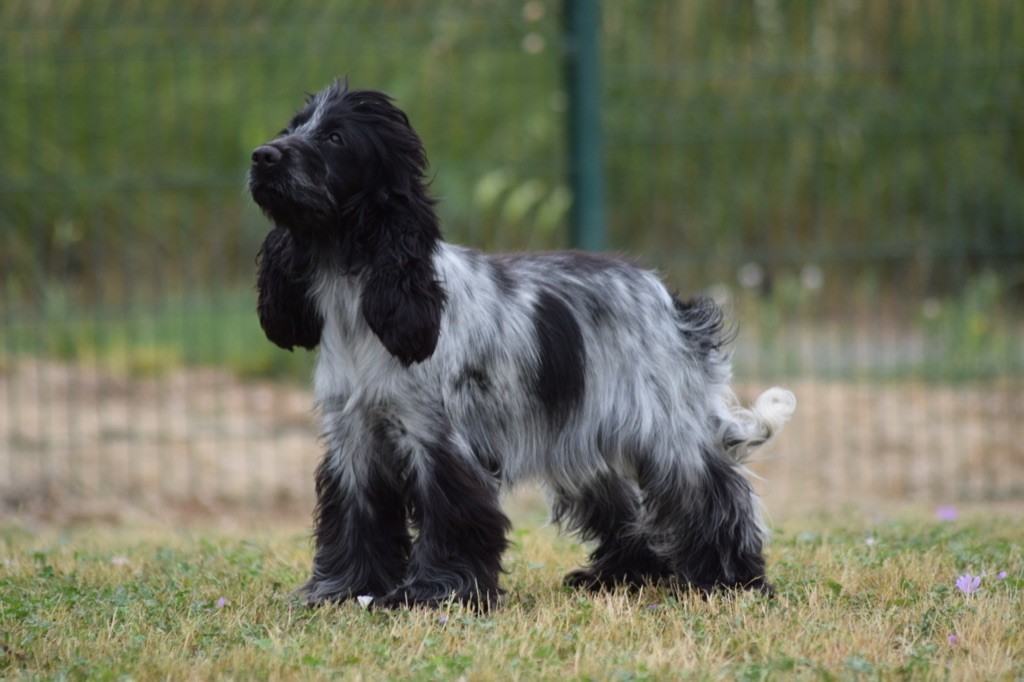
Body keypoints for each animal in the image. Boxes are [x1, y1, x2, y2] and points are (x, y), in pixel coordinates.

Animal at [247, 80, 790, 610]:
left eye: (335, 138)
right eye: (293, 128)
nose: (262, 155)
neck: (357, 294)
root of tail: (670, 302)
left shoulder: (439, 442)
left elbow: (449, 518)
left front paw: (435, 594)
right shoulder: (353, 437)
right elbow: (354, 520)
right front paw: (340, 590)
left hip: (665, 430)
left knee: (715, 493)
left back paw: (733, 580)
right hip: (586, 442)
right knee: (626, 503)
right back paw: (620, 576)